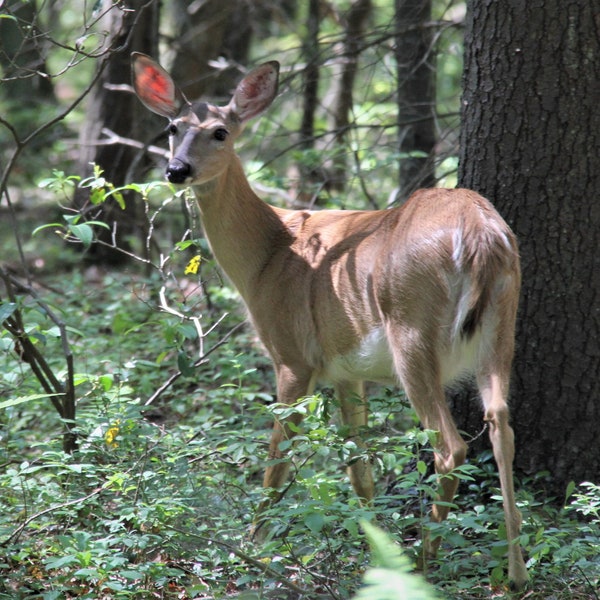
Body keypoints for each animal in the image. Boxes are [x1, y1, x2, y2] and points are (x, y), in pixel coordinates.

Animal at [132, 52, 528, 592]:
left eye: (220, 131)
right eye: (172, 128)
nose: (177, 170)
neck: (269, 255)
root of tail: (480, 234)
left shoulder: (291, 356)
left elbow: (277, 459)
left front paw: (252, 549)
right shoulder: (347, 371)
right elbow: (358, 467)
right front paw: (375, 547)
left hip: (412, 329)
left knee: (450, 447)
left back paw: (424, 564)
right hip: (502, 324)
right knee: (501, 425)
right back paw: (515, 574)